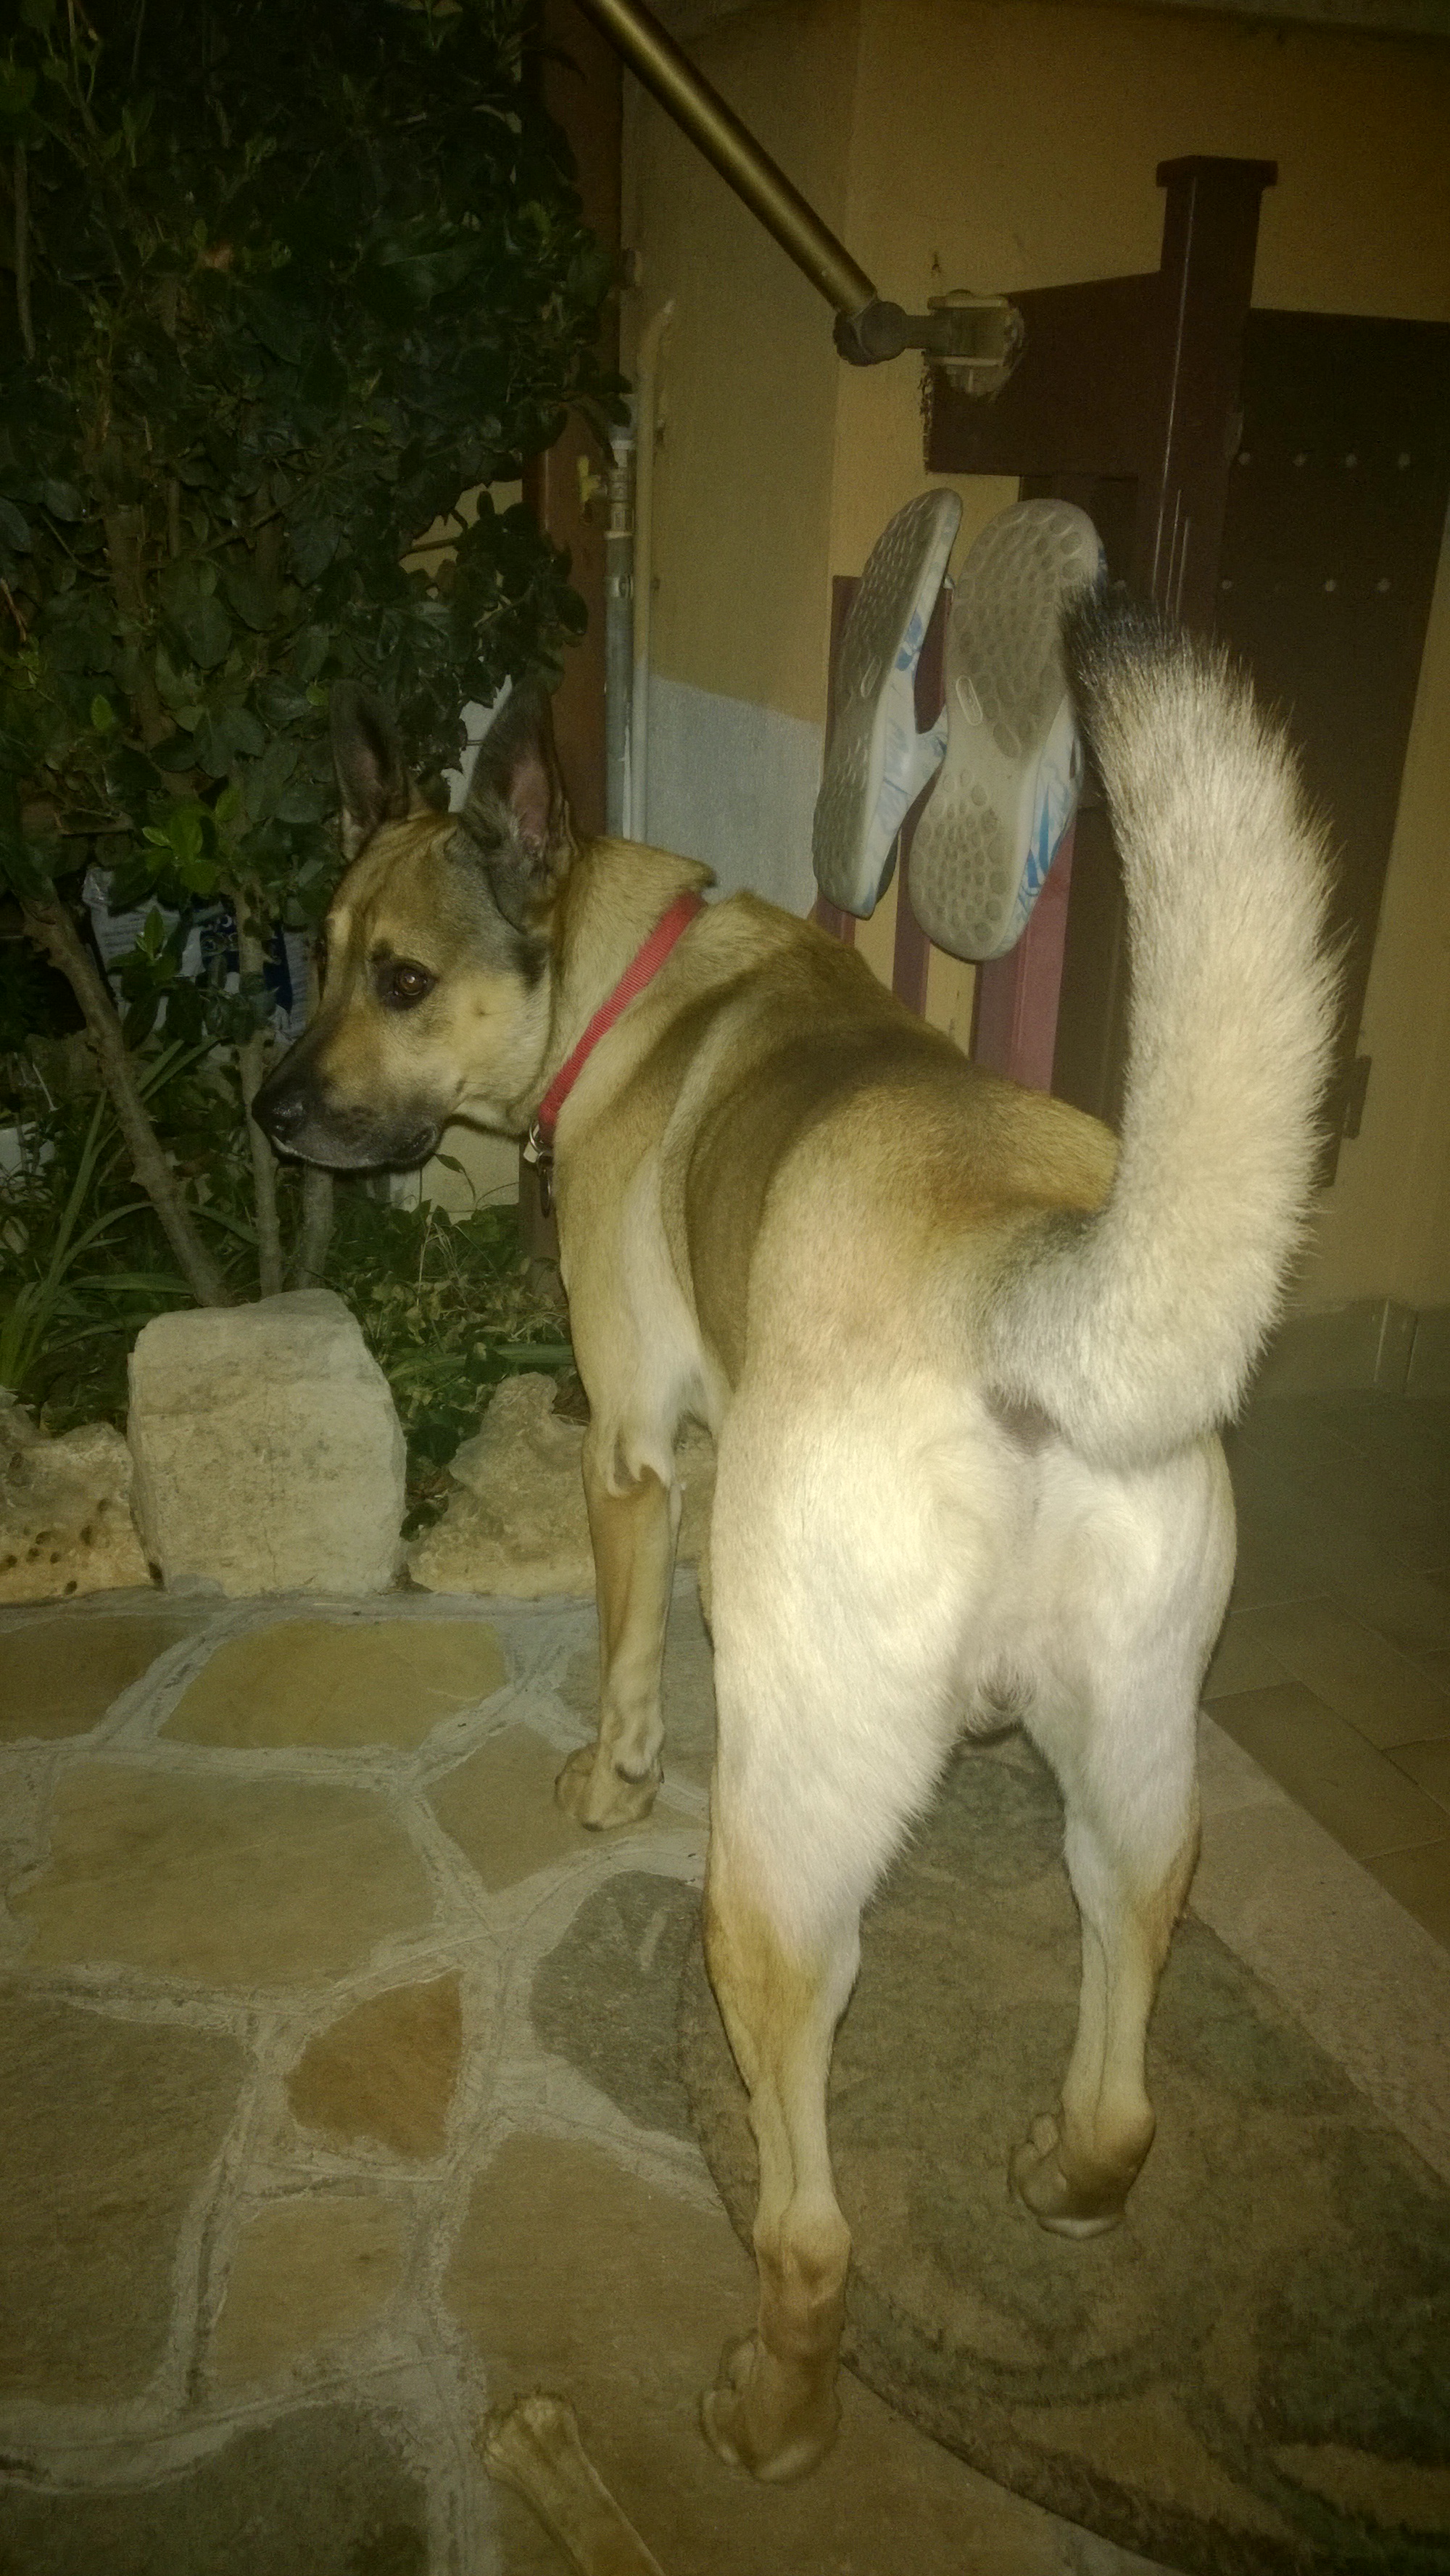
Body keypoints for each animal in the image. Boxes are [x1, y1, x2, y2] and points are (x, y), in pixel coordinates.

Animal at [255, 595, 1335, 2484]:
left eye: (399, 979)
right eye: (315, 959)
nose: (269, 1109)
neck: (620, 971)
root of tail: (1021, 1286)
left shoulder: (632, 1455)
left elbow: (620, 1660)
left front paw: (601, 1779)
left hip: (767, 1869)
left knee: (811, 2227)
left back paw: (773, 2414)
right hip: (1131, 1786)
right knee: (1124, 2073)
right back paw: (1068, 2178)